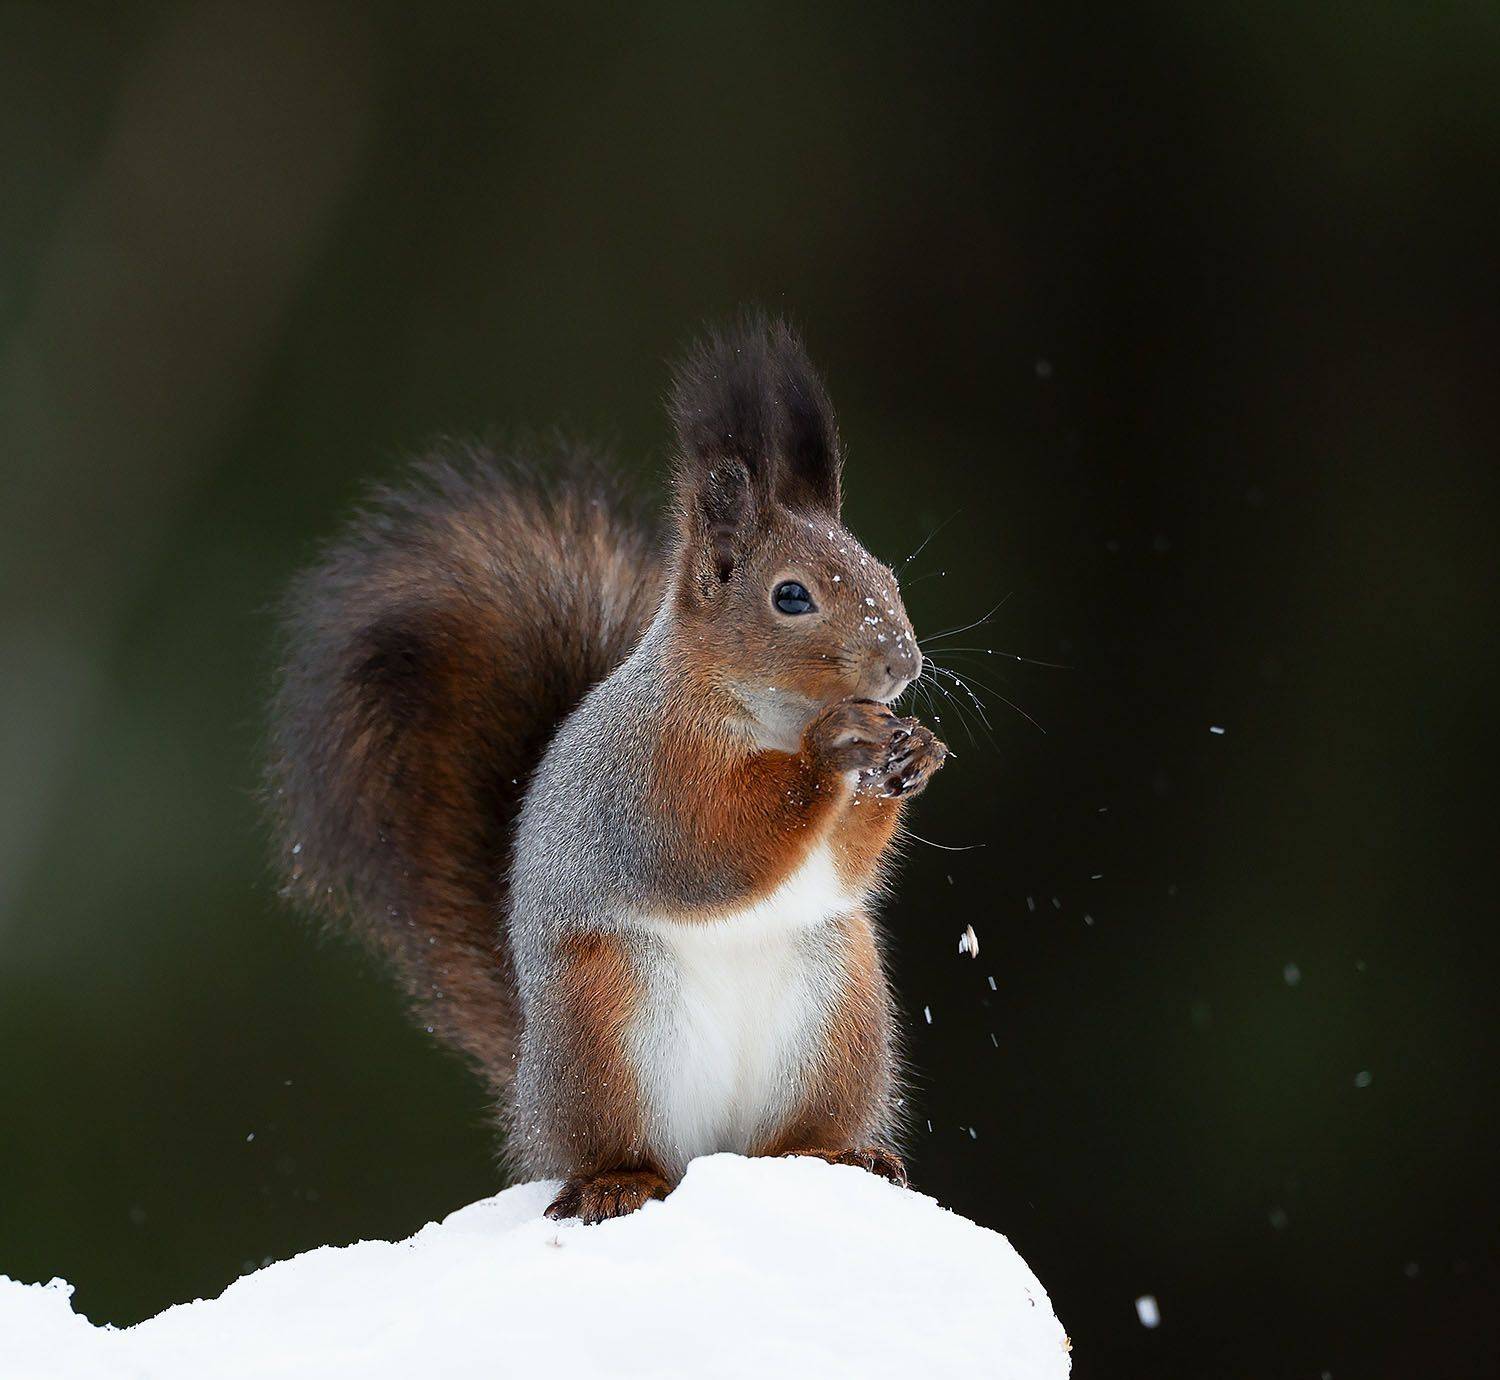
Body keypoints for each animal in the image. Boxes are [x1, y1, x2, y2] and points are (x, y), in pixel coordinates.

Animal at [267, 315, 948, 1223]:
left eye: (886, 574)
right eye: (792, 596)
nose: (903, 665)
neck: (767, 715)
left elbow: (843, 863)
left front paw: (916, 752)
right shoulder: (646, 779)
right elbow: (709, 848)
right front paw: (834, 749)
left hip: (841, 1012)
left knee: (791, 1139)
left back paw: (840, 1153)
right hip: (605, 1021)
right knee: (613, 1147)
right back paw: (617, 1180)